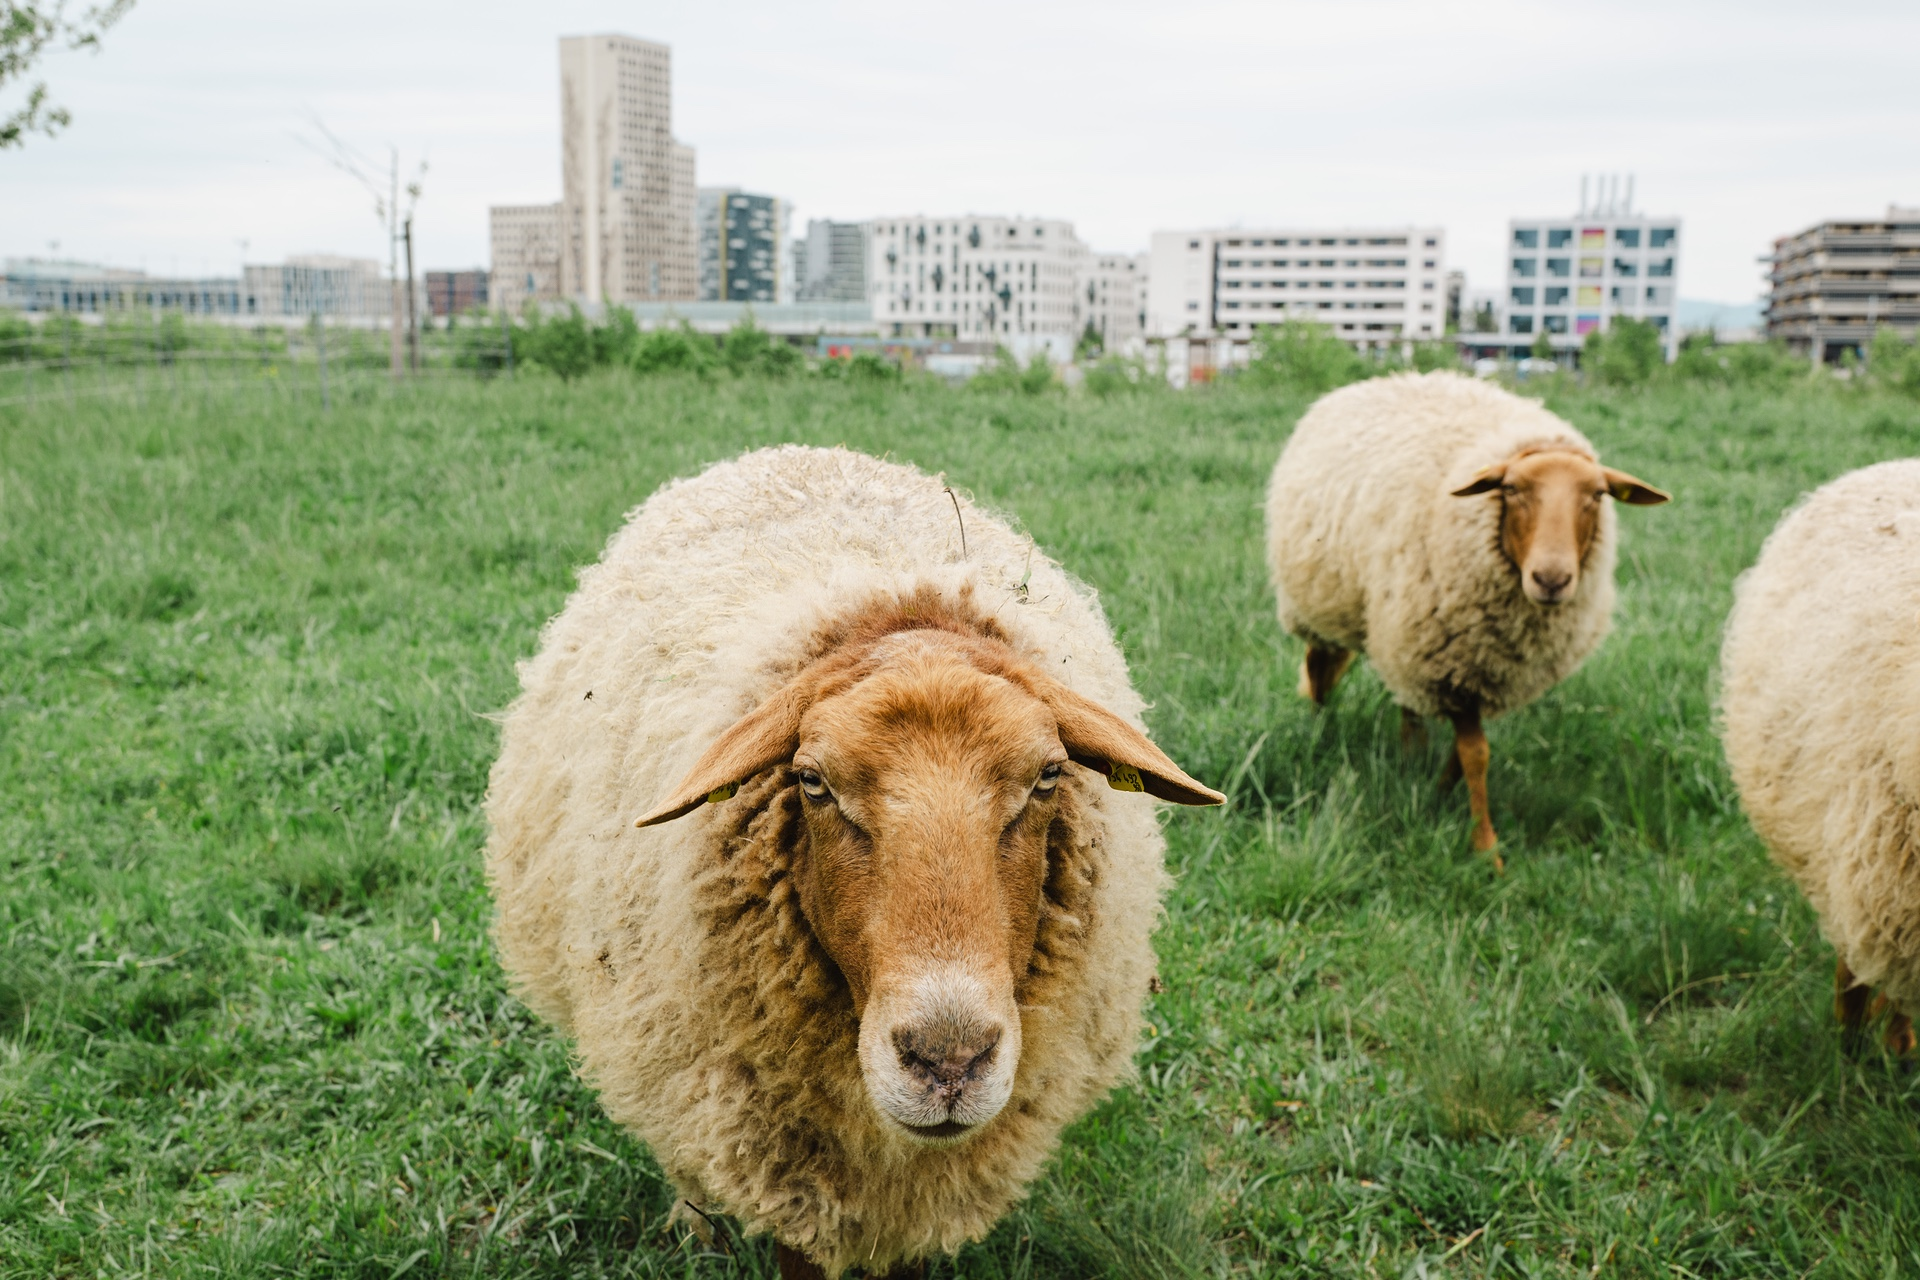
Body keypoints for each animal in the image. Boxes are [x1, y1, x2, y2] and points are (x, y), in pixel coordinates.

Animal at [1264, 371, 1668, 863]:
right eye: (1510, 490)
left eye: (1597, 494)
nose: (1551, 579)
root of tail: (1377, 380)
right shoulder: (1451, 660)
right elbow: (1476, 753)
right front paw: (1486, 848)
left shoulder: (1473, 668)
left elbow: (1463, 752)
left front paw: (1439, 791)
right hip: (1321, 602)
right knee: (1318, 671)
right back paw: (1319, 731)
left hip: (1399, 630)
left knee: (1404, 699)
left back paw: (1411, 751)